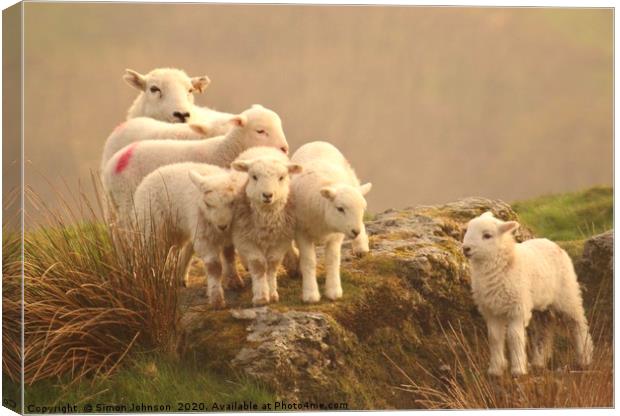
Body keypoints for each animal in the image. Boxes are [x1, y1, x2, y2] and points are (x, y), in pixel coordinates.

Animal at [133, 161, 242, 308]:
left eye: (232, 202)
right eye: (208, 204)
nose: (222, 226)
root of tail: (147, 177)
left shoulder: (229, 236)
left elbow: (230, 257)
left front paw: (234, 281)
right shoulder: (203, 238)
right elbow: (214, 267)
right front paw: (216, 299)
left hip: (175, 230)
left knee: (175, 251)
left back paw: (178, 277)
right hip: (150, 225)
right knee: (150, 254)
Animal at [230, 146, 302, 306]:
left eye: (281, 177)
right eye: (254, 177)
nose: (267, 195)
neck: (266, 219)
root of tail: (262, 148)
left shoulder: (281, 239)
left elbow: (272, 264)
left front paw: (273, 293)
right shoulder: (245, 239)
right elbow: (258, 265)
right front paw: (261, 297)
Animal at [288, 141, 370, 304]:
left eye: (363, 208)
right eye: (340, 208)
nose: (355, 231)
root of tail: (317, 142)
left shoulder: (336, 236)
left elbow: (332, 260)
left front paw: (334, 290)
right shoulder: (301, 232)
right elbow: (309, 261)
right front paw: (310, 293)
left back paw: (361, 246)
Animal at [462, 213, 592, 376]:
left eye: (487, 235)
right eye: (467, 230)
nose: (465, 248)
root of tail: (551, 242)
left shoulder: (517, 308)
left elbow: (514, 337)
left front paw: (518, 370)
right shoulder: (491, 310)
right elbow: (494, 338)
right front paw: (495, 370)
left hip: (567, 295)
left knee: (578, 324)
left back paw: (585, 359)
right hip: (542, 305)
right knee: (545, 328)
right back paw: (539, 362)